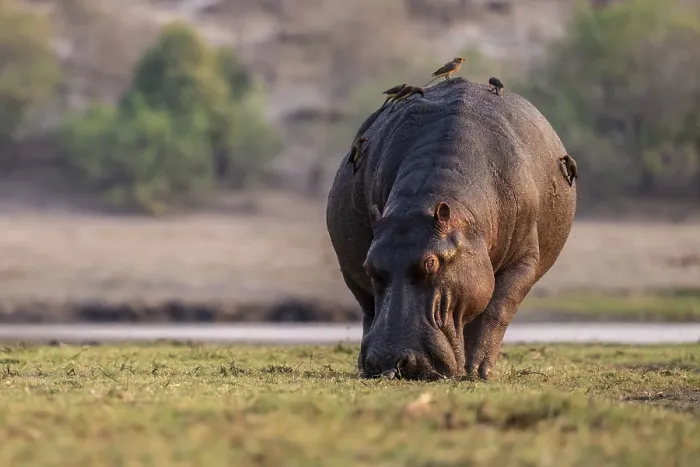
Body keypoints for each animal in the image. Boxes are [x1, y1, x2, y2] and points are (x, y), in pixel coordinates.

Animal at [325, 78, 576, 380]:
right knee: (368, 310)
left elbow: (497, 310)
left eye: (431, 263)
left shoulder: (523, 260)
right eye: (369, 266)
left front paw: (478, 371)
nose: (390, 361)